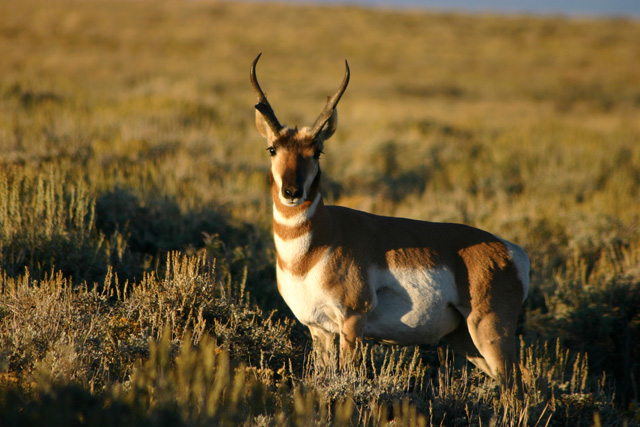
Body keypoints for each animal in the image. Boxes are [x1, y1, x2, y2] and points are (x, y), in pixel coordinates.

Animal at [250, 54, 530, 388]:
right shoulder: (318, 329)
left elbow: (347, 373)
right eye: (272, 148)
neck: (316, 246)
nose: (292, 192)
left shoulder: (352, 321)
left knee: (516, 385)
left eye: (317, 151)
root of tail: (511, 251)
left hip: (489, 331)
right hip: (466, 340)